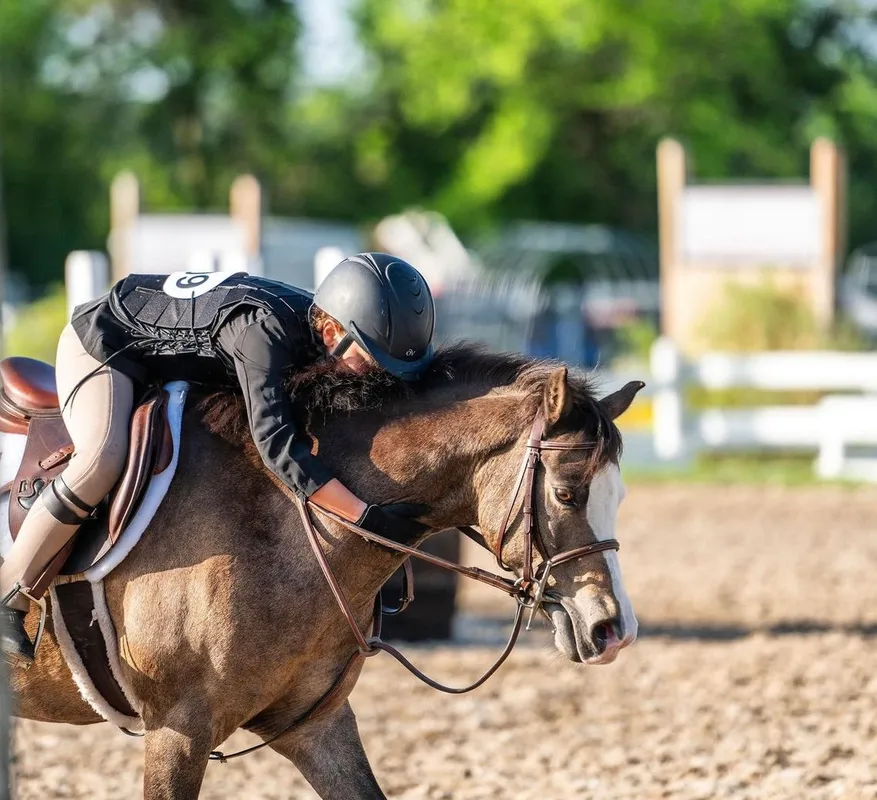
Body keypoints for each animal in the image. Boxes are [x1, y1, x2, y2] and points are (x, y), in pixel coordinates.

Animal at [9, 343, 642, 799]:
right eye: (566, 494)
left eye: (620, 496)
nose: (614, 631)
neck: (288, 515)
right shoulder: (176, 730)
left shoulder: (315, 725)